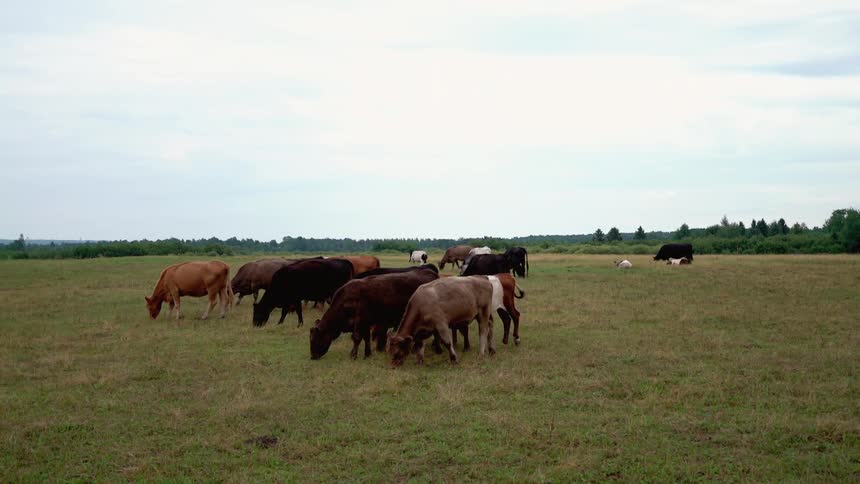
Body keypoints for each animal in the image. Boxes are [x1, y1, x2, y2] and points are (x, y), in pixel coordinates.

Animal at [309, 269, 439, 360]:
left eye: (314, 339)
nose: (312, 356)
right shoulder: (366, 323)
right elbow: (366, 337)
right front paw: (367, 353)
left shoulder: (360, 321)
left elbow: (357, 337)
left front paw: (353, 355)